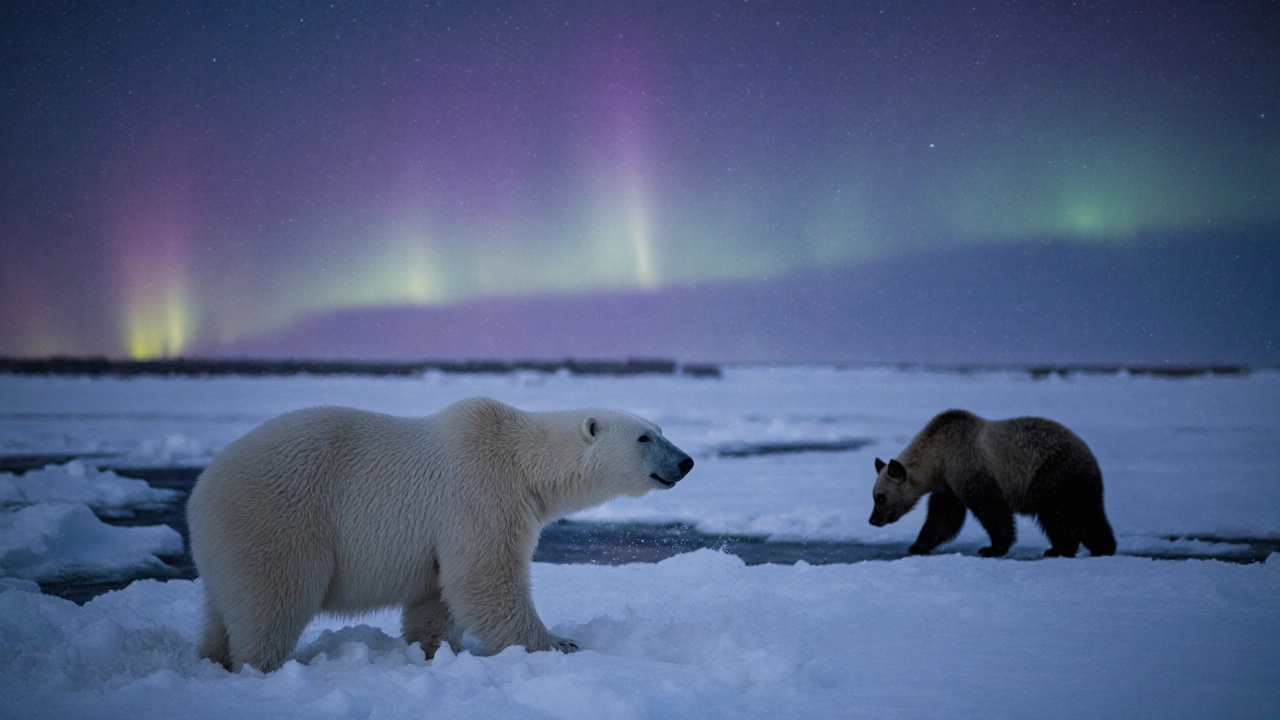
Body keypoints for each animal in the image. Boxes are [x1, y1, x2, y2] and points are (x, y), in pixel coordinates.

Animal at [186, 396, 694, 673]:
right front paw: (556, 643)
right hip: (276, 521)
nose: (686, 461)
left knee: (220, 610)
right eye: (644, 437)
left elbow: (436, 595)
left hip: (226, 547)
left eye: (661, 429)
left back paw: (211, 657)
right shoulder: (481, 493)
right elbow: (485, 578)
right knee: (272, 603)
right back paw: (258, 666)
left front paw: (435, 651)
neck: (520, 457)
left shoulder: (440, 533)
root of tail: (199, 495)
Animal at [867, 409, 1116, 558]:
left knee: (1072, 513)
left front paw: (992, 548)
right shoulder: (948, 484)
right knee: (1066, 516)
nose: (873, 520)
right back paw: (1062, 548)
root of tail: (1089, 454)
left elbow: (990, 508)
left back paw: (1098, 547)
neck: (938, 455)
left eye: (881, 497)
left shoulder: (968, 464)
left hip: (1054, 473)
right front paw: (918, 545)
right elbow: (944, 517)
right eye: (874, 496)